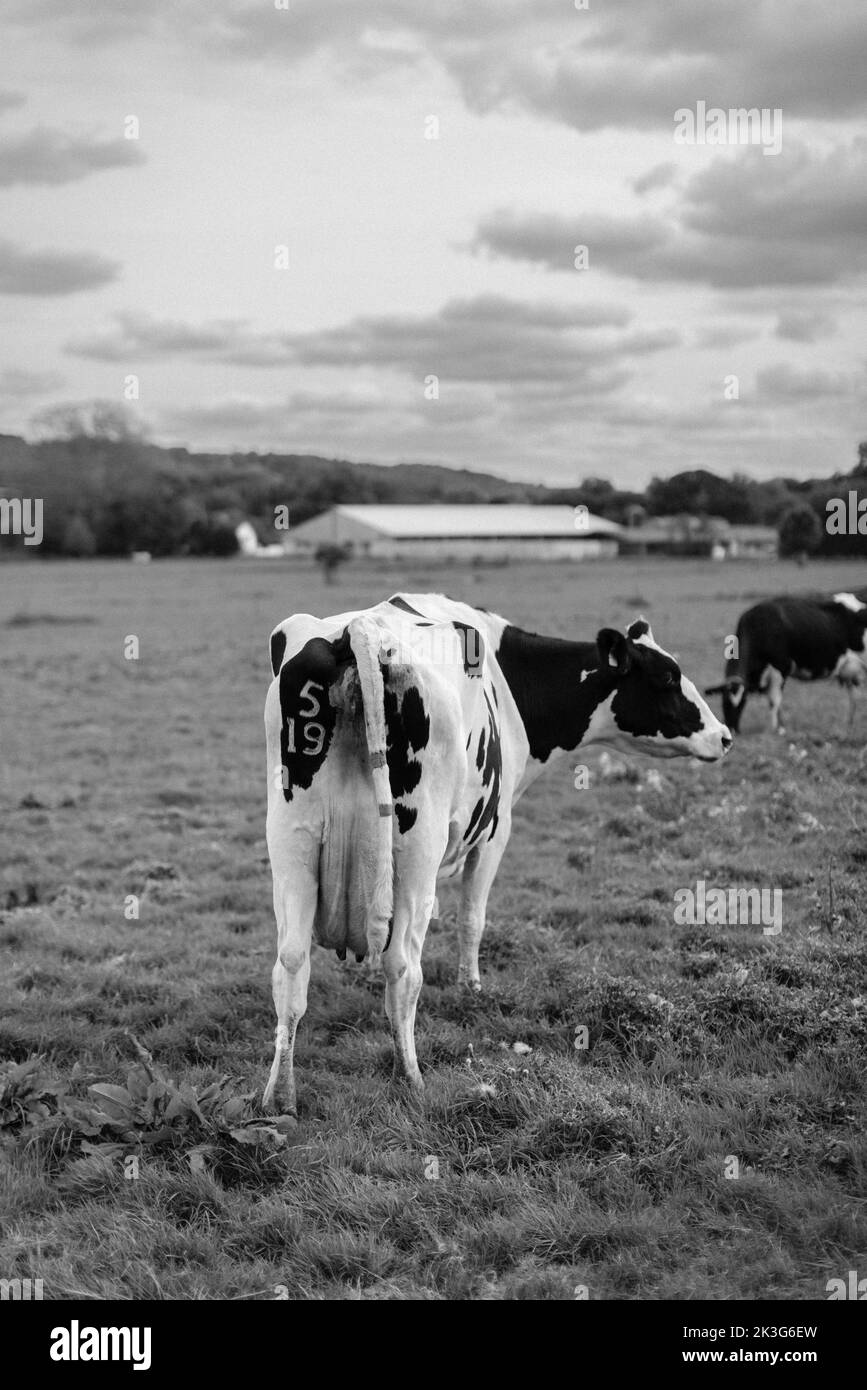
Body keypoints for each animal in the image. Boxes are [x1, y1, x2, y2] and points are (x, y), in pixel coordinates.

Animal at [263, 593, 732, 1116]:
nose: (724, 735)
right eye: (667, 677)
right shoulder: (495, 831)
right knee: (402, 968)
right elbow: (473, 918)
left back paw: (279, 1095)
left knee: (291, 967)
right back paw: (411, 1078)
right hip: (416, 853)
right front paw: (471, 989)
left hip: (292, 845)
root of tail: (359, 630)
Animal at [705, 591, 867, 735]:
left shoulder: (781, 667)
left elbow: (774, 700)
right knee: (853, 698)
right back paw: (849, 726)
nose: (732, 729)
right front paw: (779, 726)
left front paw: (777, 730)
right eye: (724, 702)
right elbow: (774, 700)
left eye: (743, 702)